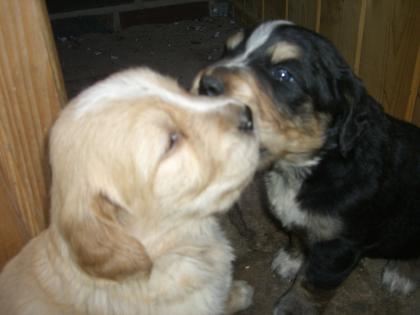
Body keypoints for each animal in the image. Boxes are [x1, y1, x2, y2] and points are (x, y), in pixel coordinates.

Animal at [193, 21, 420, 314]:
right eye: (227, 50)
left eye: (284, 75)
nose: (205, 84)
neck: (304, 167)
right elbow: (297, 235)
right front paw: (291, 260)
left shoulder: (337, 247)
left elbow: (313, 283)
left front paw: (295, 306)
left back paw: (402, 272)